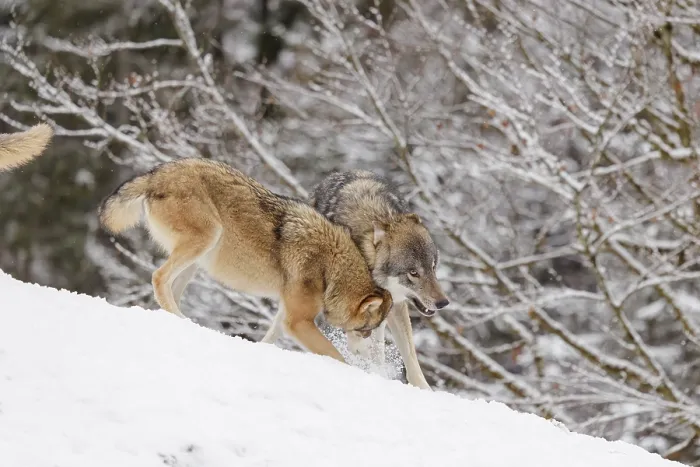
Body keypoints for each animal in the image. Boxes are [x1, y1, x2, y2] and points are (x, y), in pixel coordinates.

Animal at [98, 158, 393, 363]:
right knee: (158, 278)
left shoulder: (286, 314)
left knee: (168, 290)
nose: (367, 357)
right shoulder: (298, 321)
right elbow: (337, 356)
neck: (330, 268)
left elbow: (269, 338)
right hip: (207, 238)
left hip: (196, 261)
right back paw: (185, 320)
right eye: (366, 331)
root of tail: (155, 173)